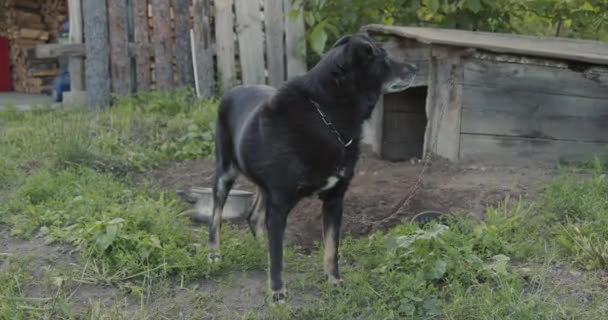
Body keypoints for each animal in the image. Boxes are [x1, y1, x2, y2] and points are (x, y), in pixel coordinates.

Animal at [207, 31, 416, 302]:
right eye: (385, 59)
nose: (416, 68)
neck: (326, 114)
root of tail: (232, 91)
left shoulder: (334, 199)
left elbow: (331, 248)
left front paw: (334, 281)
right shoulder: (280, 203)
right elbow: (278, 256)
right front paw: (277, 290)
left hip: (262, 185)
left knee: (254, 217)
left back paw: (262, 250)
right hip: (225, 173)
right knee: (216, 217)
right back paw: (214, 253)